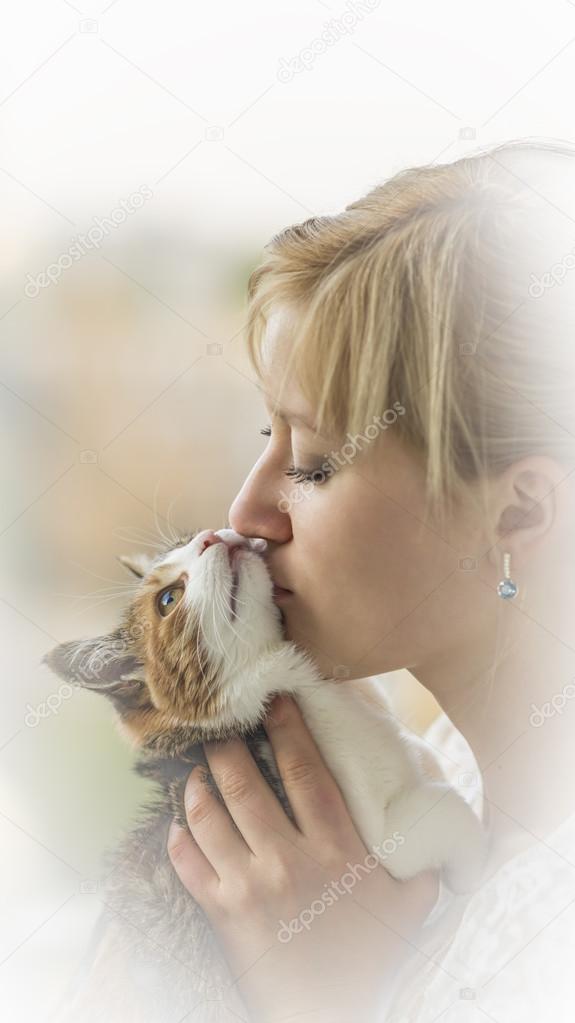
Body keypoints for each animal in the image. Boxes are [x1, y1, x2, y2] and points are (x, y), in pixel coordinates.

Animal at [42, 527, 484, 1023]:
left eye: (185, 540)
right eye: (169, 599)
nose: (209, 536)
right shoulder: (379, 846)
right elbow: (445, 809)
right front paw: (475, 872)